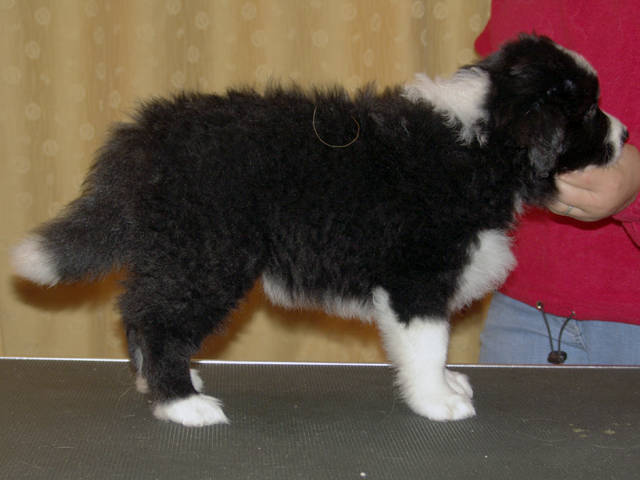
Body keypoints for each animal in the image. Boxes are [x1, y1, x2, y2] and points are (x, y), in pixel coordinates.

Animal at [11, 35, 628, 427]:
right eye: (588, 111)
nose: (624, 135)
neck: (481, 141)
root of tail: (148, 138)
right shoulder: (418, 277)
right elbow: (429, 343)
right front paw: (437, 401)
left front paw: (447, 385)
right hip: (209, 257)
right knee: (160, 321)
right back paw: (182, 404)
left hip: (176, 251)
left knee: (140, 310)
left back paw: (160, 383)